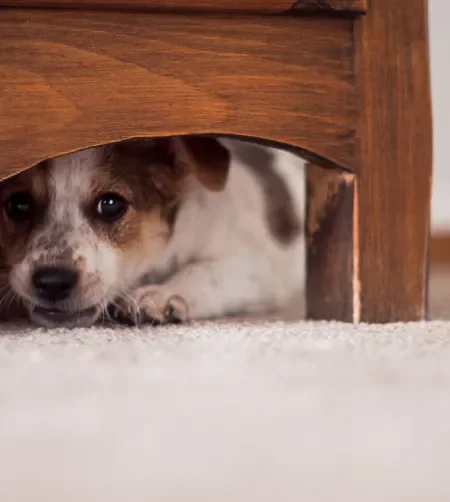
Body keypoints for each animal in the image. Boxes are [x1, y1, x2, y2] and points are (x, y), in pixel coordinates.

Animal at [0, 135, 306, 328]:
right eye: (18, 204)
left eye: (111, 205)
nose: (52, 281)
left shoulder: (260, 264)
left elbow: (206, 270)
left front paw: (163, 293)